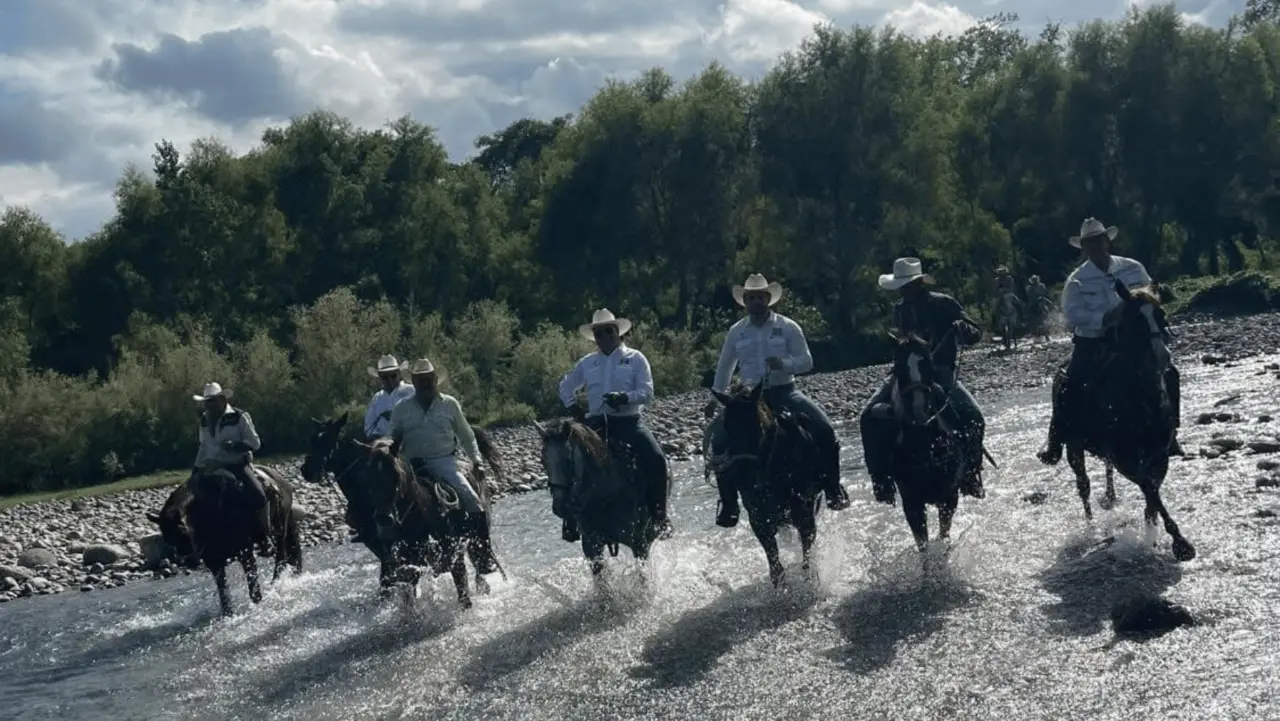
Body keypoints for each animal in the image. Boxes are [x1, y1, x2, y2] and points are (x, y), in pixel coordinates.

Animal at [145, 468, 304, 614]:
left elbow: (253, 589)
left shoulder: (245, 552)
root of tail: (281, 481)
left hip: (281, 530)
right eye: (168, 540)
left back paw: (276, 582)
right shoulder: (214, 563)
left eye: (184, 533)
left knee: (281, 558)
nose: (188, 561)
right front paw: (228, 614)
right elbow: (224, 595)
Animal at [299, 412, 504, 609]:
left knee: (483, 561)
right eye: (312, 440)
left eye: (327, 440)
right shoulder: (388, 555)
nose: (306, 470)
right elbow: (394, 585)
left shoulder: (450, 558)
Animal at [711, 381, 819, 589]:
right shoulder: (759, 519)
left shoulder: (803, 512)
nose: (741, 475)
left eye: (757, 427)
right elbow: (774, 560)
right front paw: (780, 586)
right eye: (727, 428)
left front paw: (810, 582)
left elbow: (807, 552)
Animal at [1049, 281, 1198, 563]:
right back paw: (1092, 527)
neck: (1139, 400)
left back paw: (1109, 499)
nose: (1163, 357)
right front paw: (1181, 544)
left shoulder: (1159, 455)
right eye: (1135, 323)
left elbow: (1152, 491)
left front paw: (1152, 531)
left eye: (1161, 316)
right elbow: (1149, 487)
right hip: (1074, 446)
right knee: (1083, 486)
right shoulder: (1125, 461)